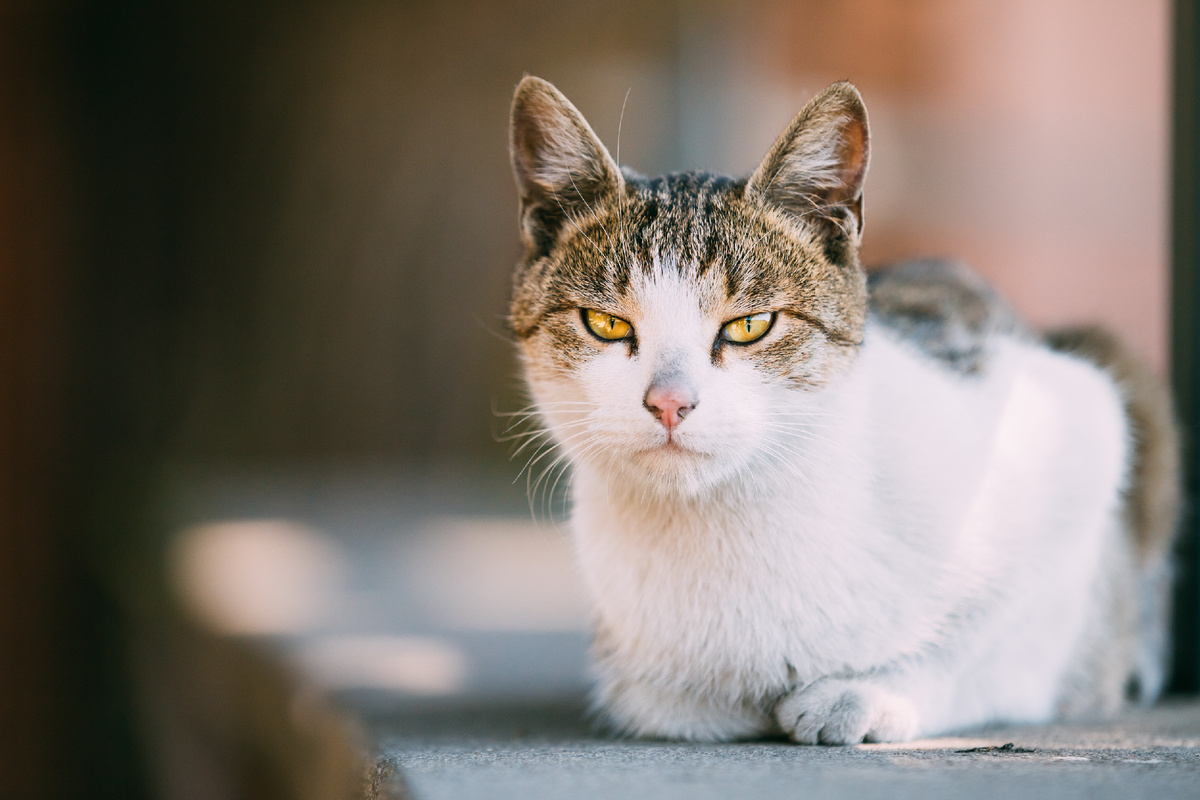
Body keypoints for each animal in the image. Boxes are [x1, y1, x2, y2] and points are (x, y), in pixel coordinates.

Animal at [501, 76, 1176, 743]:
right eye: (606, 323)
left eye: (750, 325)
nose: (670, 402)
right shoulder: (650, 691)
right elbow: (663, 703)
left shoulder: (1074, 422)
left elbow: (990, 643)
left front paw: (868, 692)